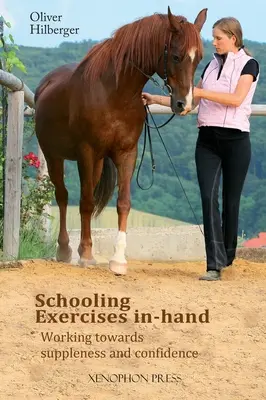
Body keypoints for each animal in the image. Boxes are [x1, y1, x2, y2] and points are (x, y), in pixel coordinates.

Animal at [34, 7, 207, 276]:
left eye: (198, 58)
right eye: (176, 56)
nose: (184, 104)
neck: (115, 94)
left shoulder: (127, 153)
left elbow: (122, 203)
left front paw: (117, 260)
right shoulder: (87, 152)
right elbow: (85, 202)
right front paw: (87, 256)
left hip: (94, 163)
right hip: (54, 156)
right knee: (63, 196)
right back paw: (65, 250)